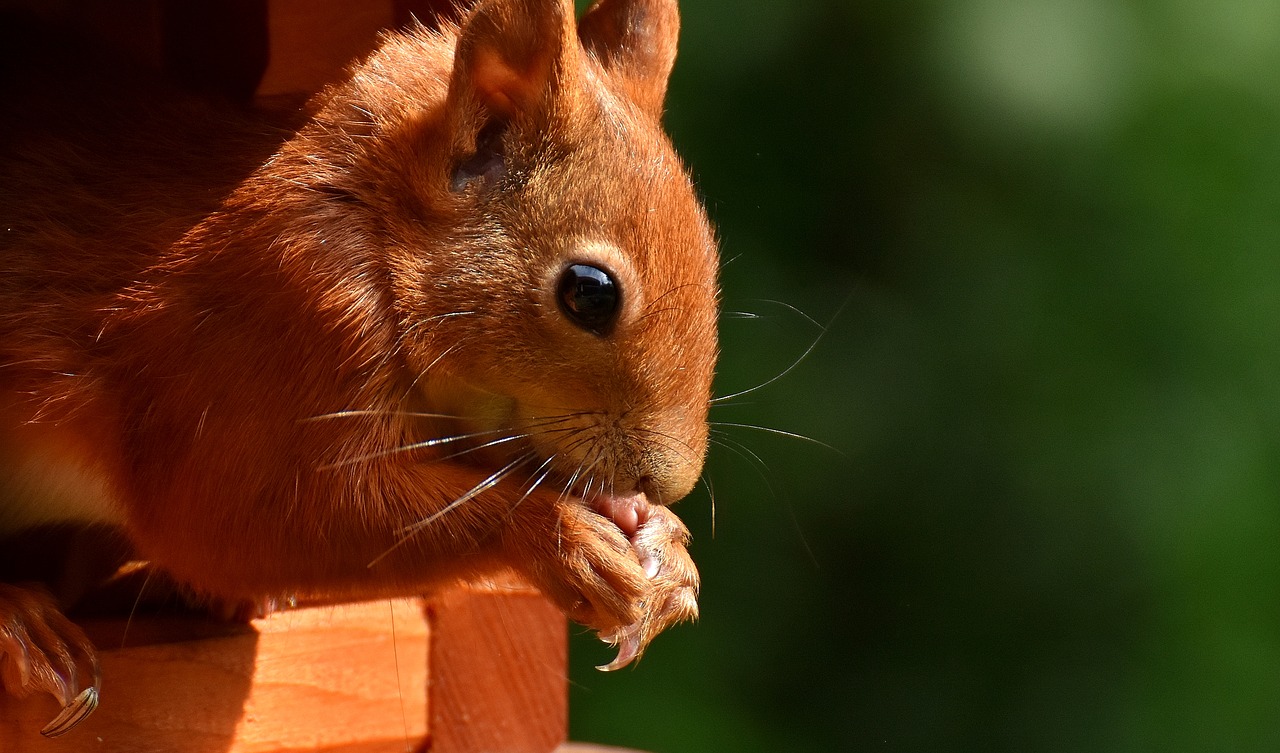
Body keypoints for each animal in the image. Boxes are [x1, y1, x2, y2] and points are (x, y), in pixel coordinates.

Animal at [0, 0, 721, 737]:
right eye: (590, 293)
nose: (663, 481)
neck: (376, 224)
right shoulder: (258, 335)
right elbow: (239, 518)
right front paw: (564, 538)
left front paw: (665, 550)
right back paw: (23, 626)